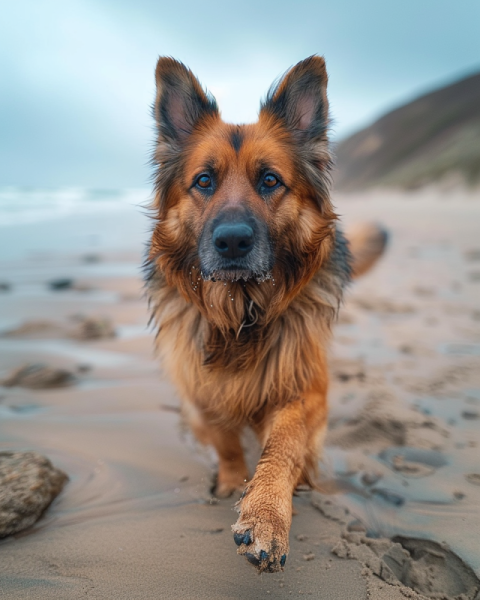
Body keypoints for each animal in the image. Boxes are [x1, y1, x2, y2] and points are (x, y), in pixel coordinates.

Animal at [146, 55, 386, 572]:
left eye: (270, 181)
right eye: (204, 181)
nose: (233, 241)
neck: (242, 315)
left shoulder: (304, 387)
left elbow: (285, 444)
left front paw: (267, 516)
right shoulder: (202, 388)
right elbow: (225, 442)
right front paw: (232, 482)